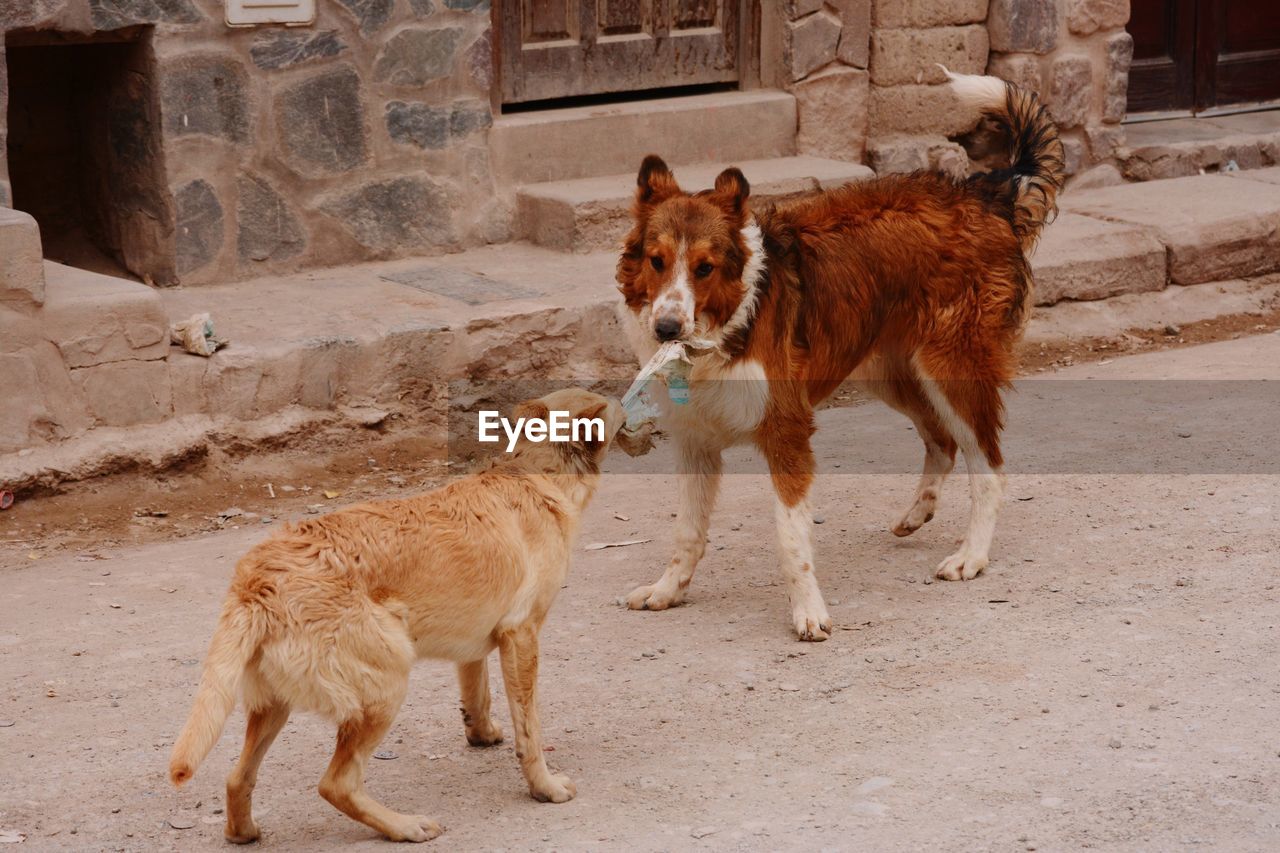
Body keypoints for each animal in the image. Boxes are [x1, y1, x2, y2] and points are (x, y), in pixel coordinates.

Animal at [167, 389, 627, 840]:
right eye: (614, 404)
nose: (631, 401)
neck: (534, 473)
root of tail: (257, 582)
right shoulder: (522, 636)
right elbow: (529, 731)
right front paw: (543, 786)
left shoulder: (480, 640)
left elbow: (477, 693)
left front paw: (481, 734)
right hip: (386, 686)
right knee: (336, 784)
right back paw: (404, 826)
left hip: (275, 703)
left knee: (236, 778)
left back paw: (243, 831)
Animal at [614, 71, 1064, 637]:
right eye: (656, 261)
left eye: (704, 268)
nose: (667, 327)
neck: (726, 326)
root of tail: (984, 193)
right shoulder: (695, 441)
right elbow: (687, 533)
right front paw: (668, 590)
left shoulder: (787, 432)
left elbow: (790, 539)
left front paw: (809, 611)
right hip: (888, 370)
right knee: (942, 441)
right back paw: (917, 514)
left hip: (950, 365)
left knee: (990, 464)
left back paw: (971, 555)